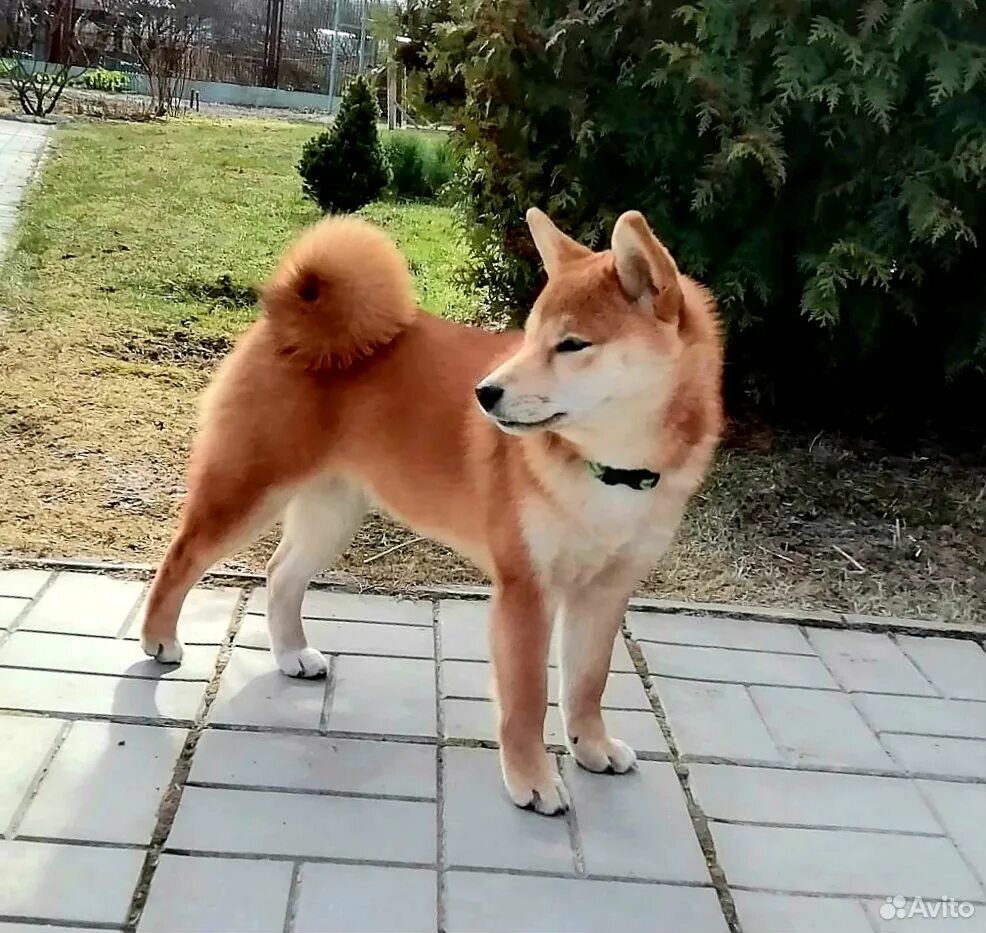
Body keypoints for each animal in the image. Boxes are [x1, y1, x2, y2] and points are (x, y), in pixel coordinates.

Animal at [140, 208, 724, 812]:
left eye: (572, 344)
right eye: (530, 337)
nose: (484, 394)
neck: (609, 470)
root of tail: (292, 311)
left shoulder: (606, 591)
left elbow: (587, 683)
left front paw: (592, 747)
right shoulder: (526, 589)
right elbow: (527, 698)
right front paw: (533, 779)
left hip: (332, 515)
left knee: (280, 574)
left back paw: (293, 654)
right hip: (248, 490)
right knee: (182, 557)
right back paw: (159, 639)